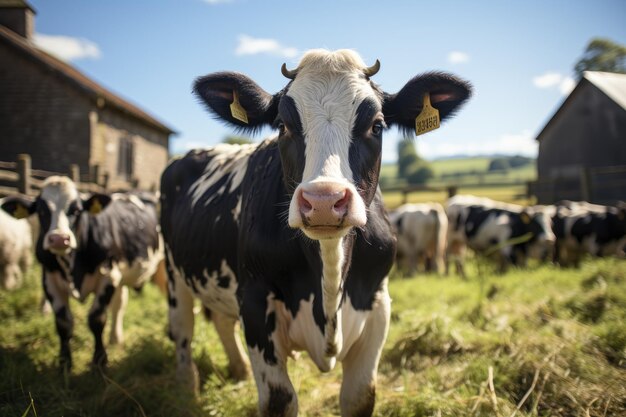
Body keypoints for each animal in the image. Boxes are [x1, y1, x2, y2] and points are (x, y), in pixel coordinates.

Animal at [158, 49, 470, 416]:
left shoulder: (377, 303)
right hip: (174, 272)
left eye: (376, 125)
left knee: (221, 320)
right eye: (282, 125)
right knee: (182, 330)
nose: (323, 200)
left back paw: (238, 370)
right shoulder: (255, 303)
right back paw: (185, 387)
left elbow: (359, 396)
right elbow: (279, 399)